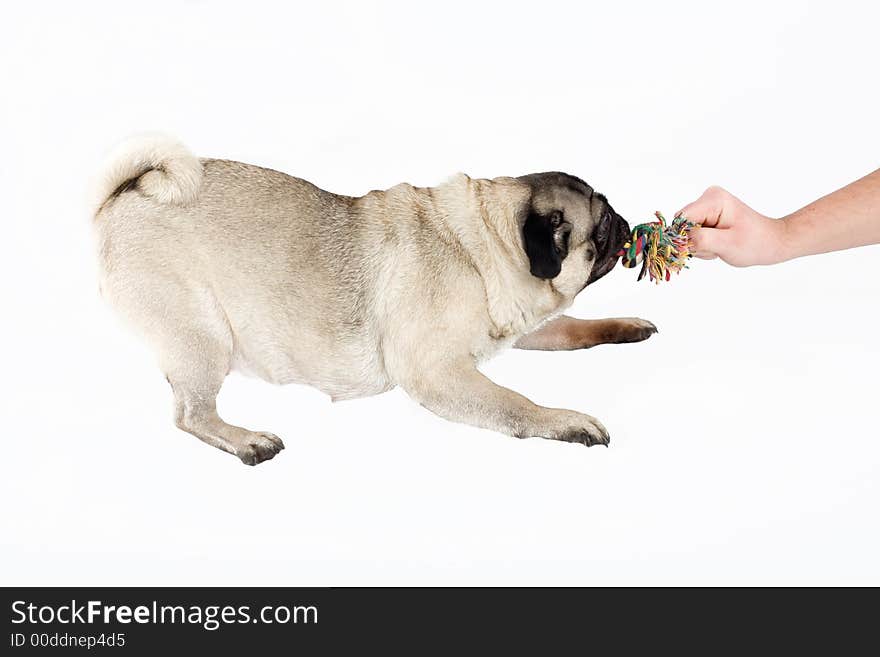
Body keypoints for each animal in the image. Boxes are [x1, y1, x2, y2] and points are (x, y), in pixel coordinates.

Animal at [94, 135, 652, 462]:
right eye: (601, 227)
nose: (627, 224)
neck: (483, 244)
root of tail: (124, 194)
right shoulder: (435, 372)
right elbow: (514, 403)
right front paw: (566, 421)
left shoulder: (519, 324)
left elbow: (573, 328)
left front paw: (626, 325)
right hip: (202, 335)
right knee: (192, 414)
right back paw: (246, 439)